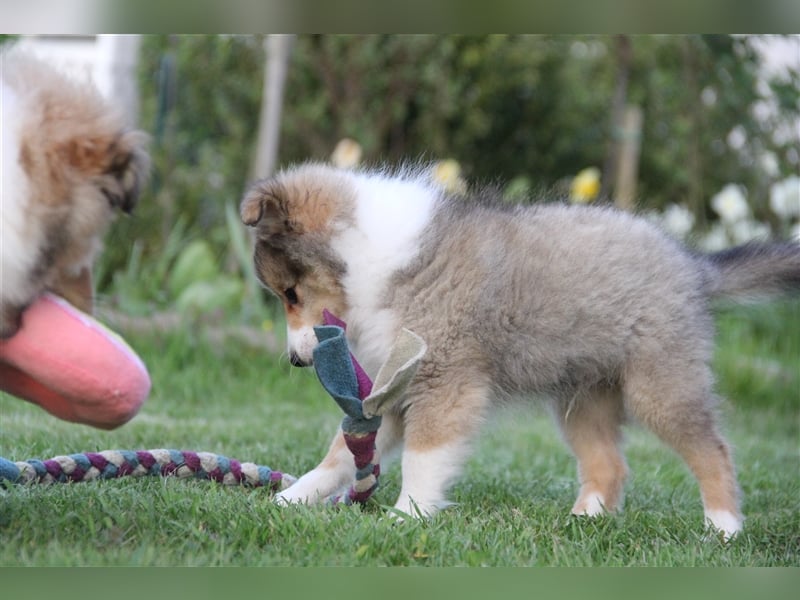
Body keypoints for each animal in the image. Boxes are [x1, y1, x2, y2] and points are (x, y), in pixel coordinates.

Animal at [242, 161, 800, 540]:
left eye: (290, 293)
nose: (296, 360)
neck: (368, 258)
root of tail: (694, 266)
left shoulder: (444, 380)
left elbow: (424, 457)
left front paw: (408, 515)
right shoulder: (396, 390)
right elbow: (342, 452)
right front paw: (290, 499)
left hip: (660, 386)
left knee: (713, 450)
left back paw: (723, 527)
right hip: (582, 398)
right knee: (609, 465)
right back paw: (583, 522)